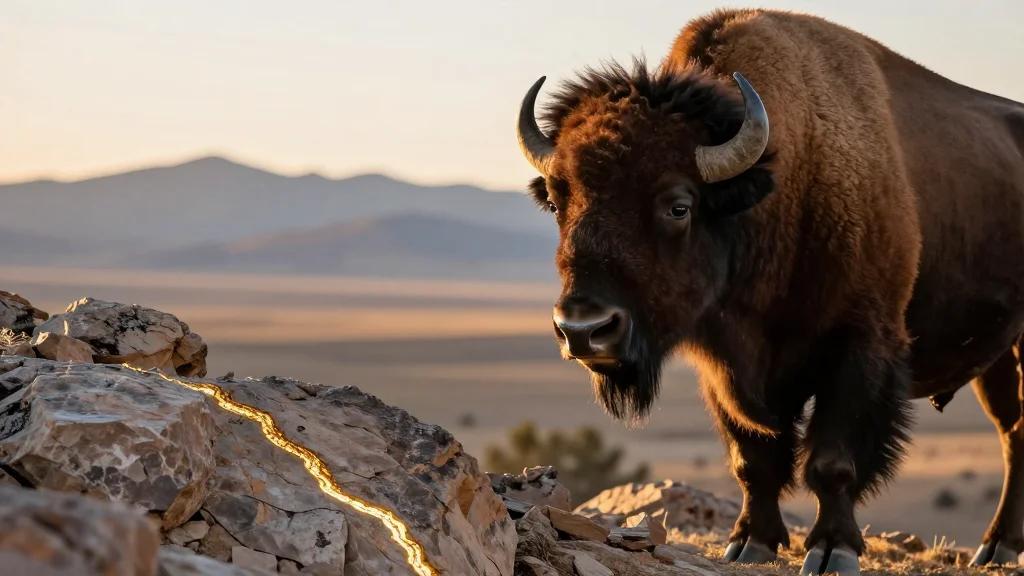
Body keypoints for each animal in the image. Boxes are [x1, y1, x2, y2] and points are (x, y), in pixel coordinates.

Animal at [516, 8, 1024, 575]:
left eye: (678, 205)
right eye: (557, 201)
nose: (583, 329)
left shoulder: (861, 347)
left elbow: (833, 460)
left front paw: (832, 550)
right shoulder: (726, 367)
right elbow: (752, 458)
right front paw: (750, 541)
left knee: (1015, 437)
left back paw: (997, 545)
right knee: (1012, 432)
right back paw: (996, 546)